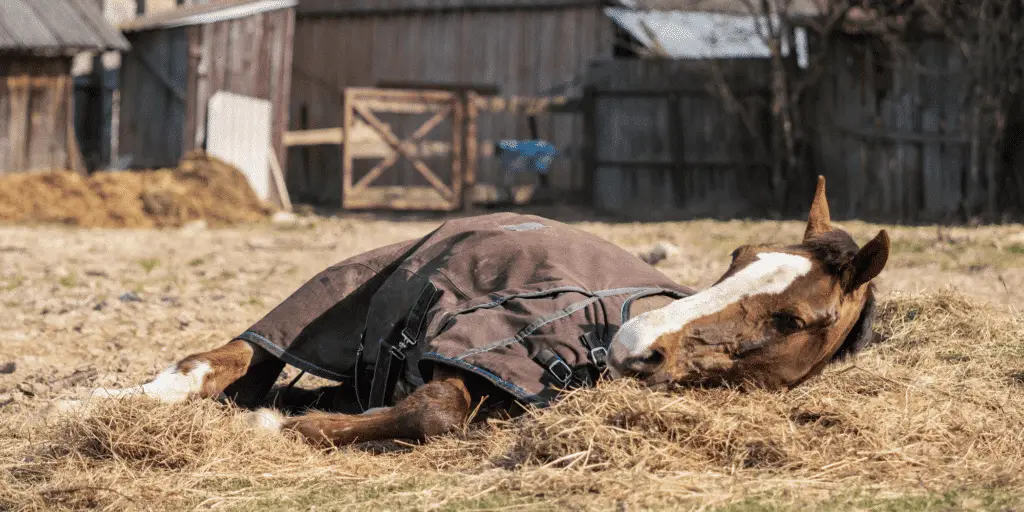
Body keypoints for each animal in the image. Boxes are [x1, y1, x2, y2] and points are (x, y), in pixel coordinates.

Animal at [46, 177, 888, 448]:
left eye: (793, 320)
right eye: (736, 257)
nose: (634, 343)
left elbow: (429, 411)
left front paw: (288, 422)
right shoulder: (474, 349)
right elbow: (434, 411)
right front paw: (280, 427)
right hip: (323, 304)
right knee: (217, 361)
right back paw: (97, 401)